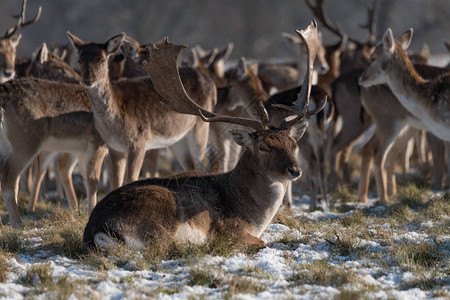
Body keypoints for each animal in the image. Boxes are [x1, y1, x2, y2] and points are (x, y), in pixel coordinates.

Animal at [83, 21, 324, 250]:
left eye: (293, 144)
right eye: (263, 146)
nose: (295, 170)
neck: (252, 215)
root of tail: (97, 229)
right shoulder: (230, 230)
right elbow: (261, 242)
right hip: (160, 216)